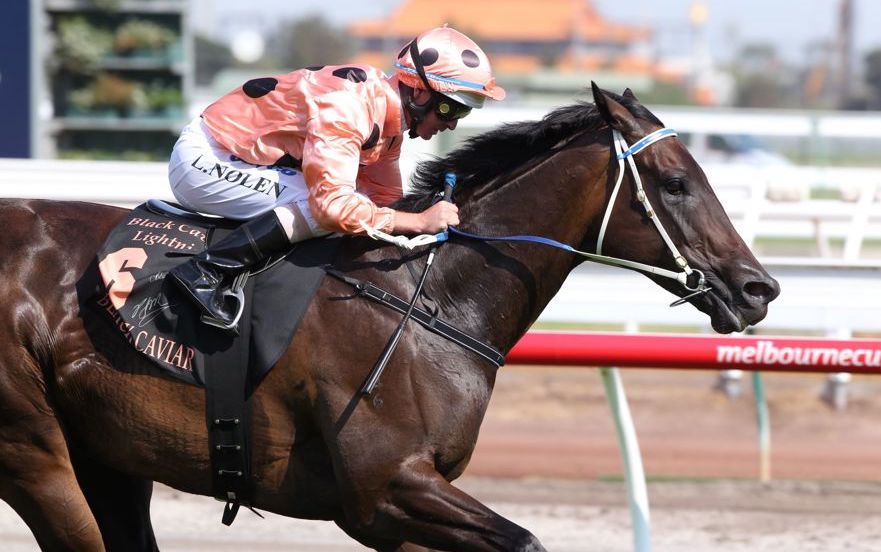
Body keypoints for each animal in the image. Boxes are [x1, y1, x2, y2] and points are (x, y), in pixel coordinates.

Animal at [0, 84, 776, 548]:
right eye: (675, 183)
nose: (757, 289)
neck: (429, 297)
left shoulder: (397, 510)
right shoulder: (386, 487)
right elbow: (525, 538)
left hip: (109, 456)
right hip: (35, 453)